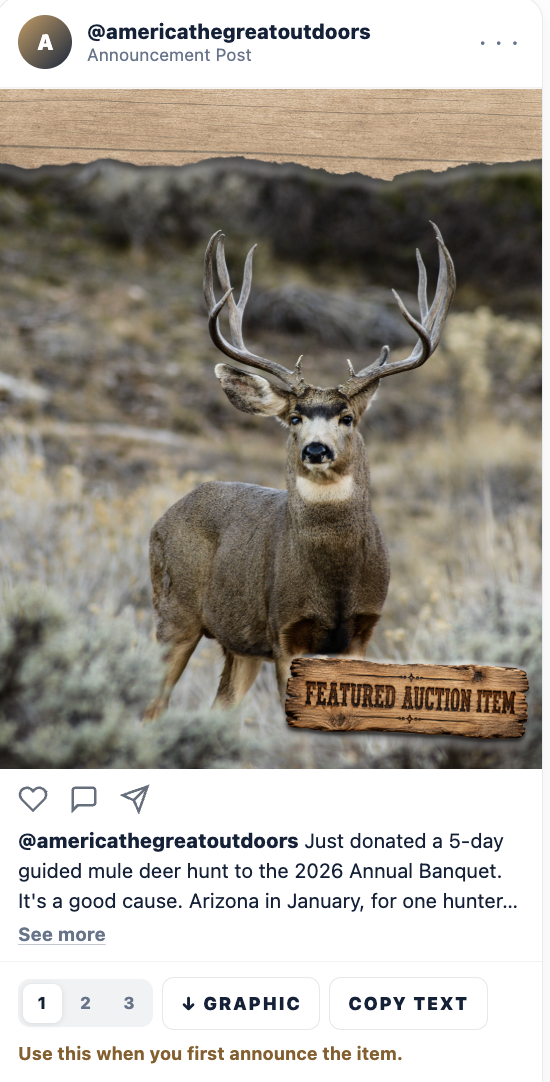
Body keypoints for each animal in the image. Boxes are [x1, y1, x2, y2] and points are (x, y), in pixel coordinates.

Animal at [145, 223, 455, 720]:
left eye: (347, 417)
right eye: (294, 417)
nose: (316, 448)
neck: (334, 578)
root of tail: (163, 517)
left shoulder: (363, 628)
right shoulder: (286, 631)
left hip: (239, 643)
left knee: (219, 707)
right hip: (174, 611)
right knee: (150, 706)